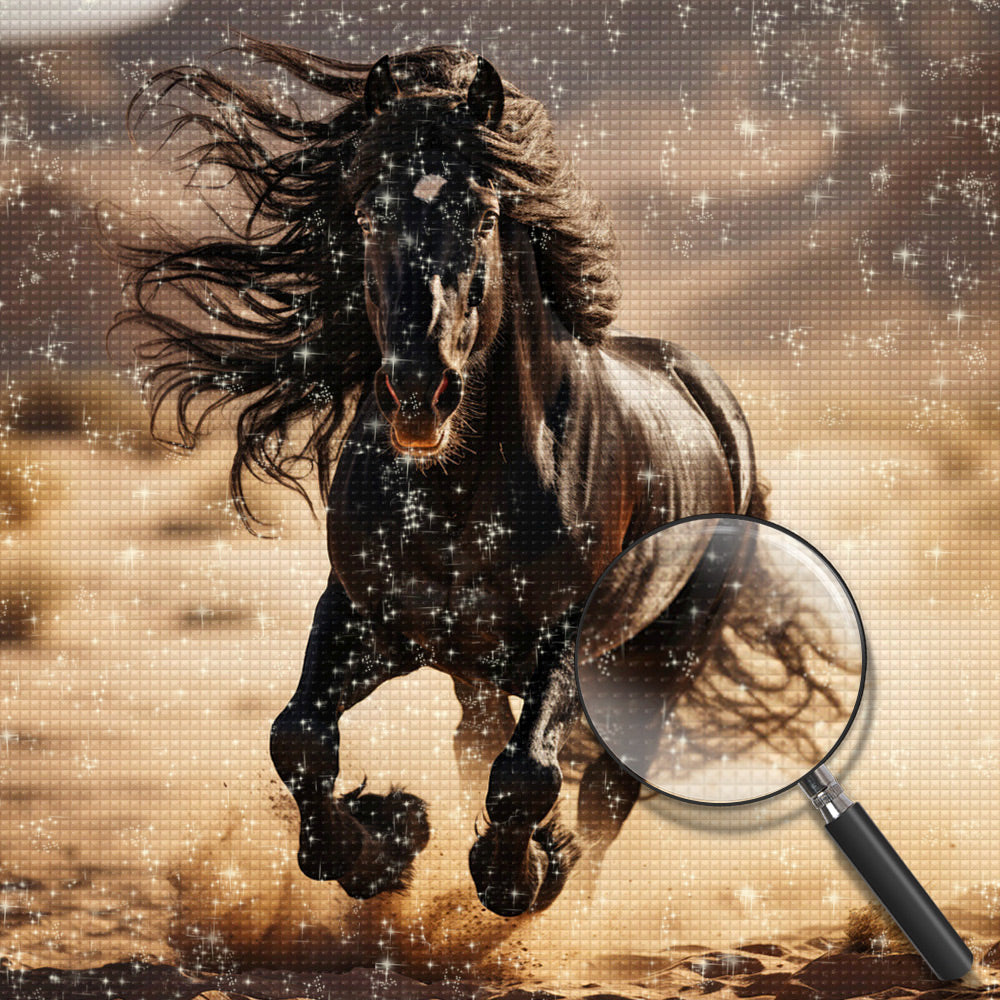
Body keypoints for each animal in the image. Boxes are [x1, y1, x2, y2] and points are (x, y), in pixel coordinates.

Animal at [114, 41, 763, 917]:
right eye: (369, 214)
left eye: (483, 216)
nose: (421, 392)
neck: (460, 497)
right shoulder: (365, 619)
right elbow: (301, 740)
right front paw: (389, 841)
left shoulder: (568, 635)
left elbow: (527, 778)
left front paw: (525, 871)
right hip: (477, 668)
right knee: (475, 740)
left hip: (660, 656)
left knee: (605, 790)